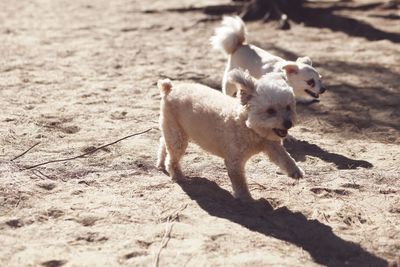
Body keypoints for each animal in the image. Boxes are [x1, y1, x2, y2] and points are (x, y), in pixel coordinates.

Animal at [156, 69, 304, 201]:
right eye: (270, 111)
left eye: (288, 107)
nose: (288, 123)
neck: (249, 129)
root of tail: (170, 88)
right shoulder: (234, 161)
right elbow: (239, 181)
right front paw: (245, 198)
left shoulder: (272, 145)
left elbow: (285, 157)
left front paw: (295, 171)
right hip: (178, 137)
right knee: (172, 159)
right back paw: (178, 176)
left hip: (172, 130)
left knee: (164, 143)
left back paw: (160, 163)